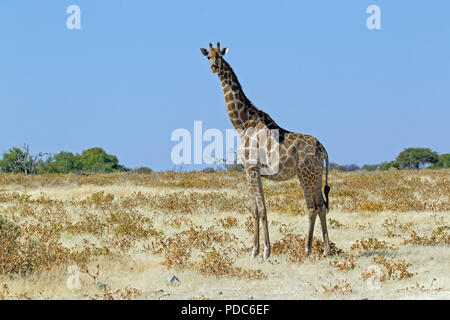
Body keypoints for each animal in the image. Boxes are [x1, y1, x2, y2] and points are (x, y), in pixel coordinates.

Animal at [200, 42, 330, 260]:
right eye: (208, 56)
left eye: (220, 56)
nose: (213, 67)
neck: (242, 124)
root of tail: (324, 150)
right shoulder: (250, 172)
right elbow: (254, 210)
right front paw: (255, 250)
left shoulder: (252, 169)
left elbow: (261, 209)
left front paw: (265, 251)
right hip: (317, 175)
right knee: (321, 205)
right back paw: (327, 250)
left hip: (305, 174)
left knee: (311, 207)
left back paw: (307, 249)